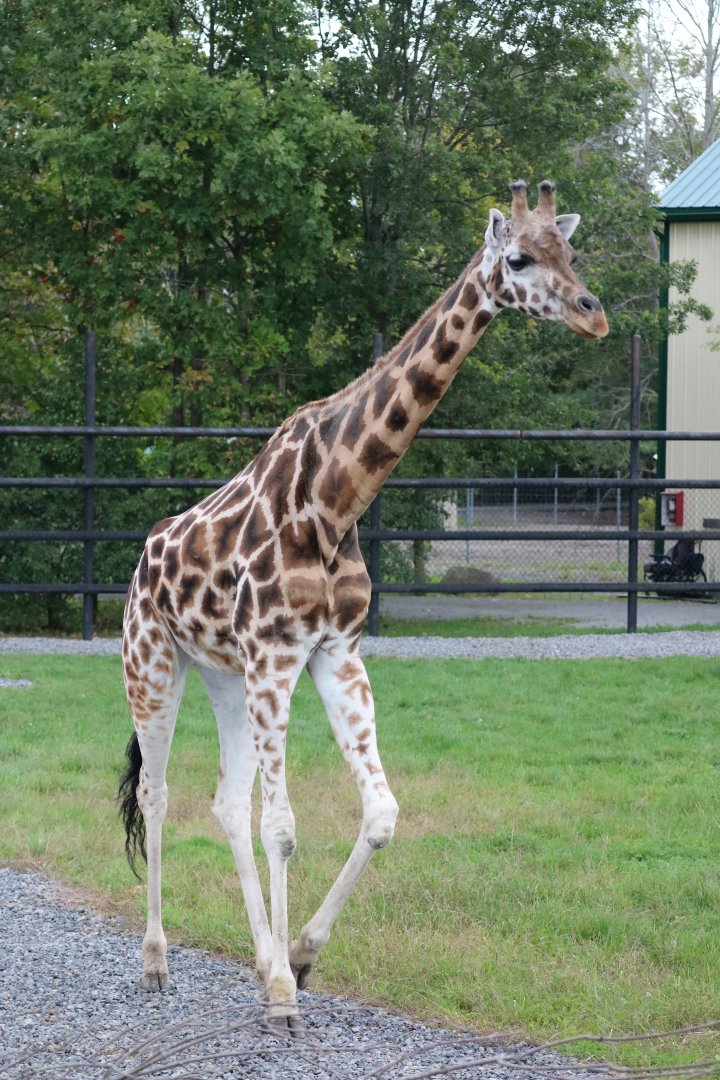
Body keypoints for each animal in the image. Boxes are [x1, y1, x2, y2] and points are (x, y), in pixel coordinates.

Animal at [118, 180, 608, 1028]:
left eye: (570, 251)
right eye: (518, 257)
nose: (591, 312)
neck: (335, 495)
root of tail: (144, 557)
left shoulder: (333, 653)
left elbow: (379, 815)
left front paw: (297, 960)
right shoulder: (278, 656)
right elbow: (284, 826)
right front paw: (284, 999)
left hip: (223, 674)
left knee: (225, 803)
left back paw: (258, 958)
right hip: (153, 662)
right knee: (158, 792)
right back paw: (156, 961)